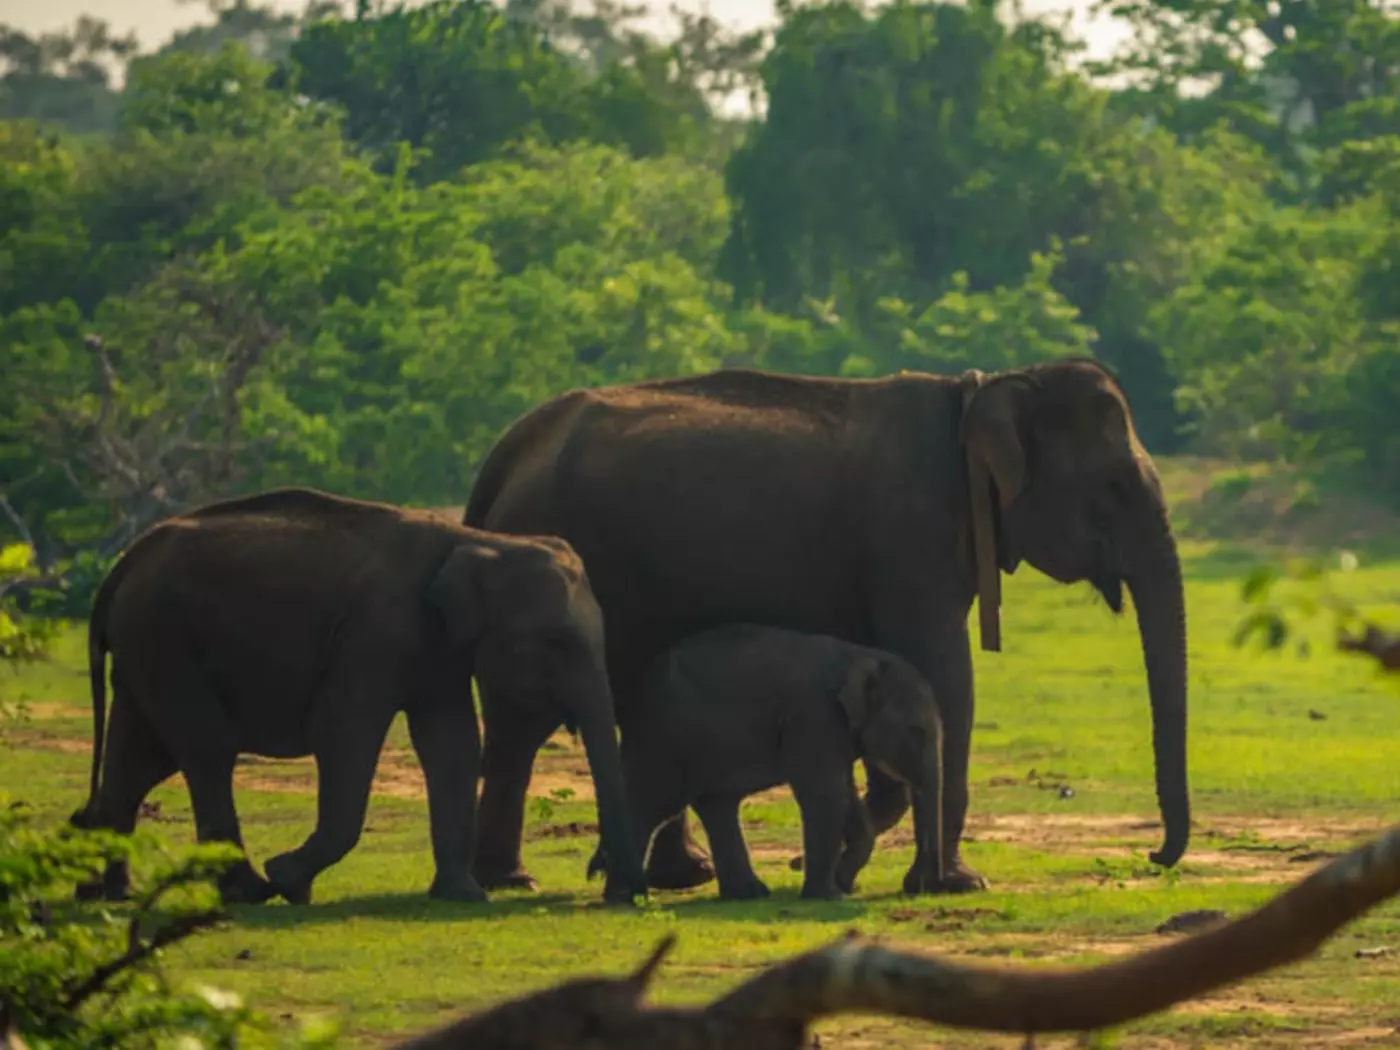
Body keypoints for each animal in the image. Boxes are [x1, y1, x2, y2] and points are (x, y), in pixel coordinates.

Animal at [69, 486, 646, 906]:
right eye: (557, 641)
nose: (612, 887)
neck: (478, 539)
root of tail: (124, 561)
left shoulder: (436, 650)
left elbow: (452, 743)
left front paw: (462, 896)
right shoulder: (375, 634)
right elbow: (344, 733)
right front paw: (289, 880)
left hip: (147, 647)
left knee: (140, 758)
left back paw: (110, 892)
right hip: (164, 638)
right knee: (206, 750)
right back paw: (249, 890)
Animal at [586, 624, 944, 901]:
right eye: (917, 731)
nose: (929, 887)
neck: (860, 657)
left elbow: (843, 793)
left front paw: (842, 885)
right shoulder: (813, 714)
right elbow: (825, 793)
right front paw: (829, 896)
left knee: (717, 806)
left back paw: (748, 894)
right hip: (664, 740)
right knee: (652, 804)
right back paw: (625, 897)